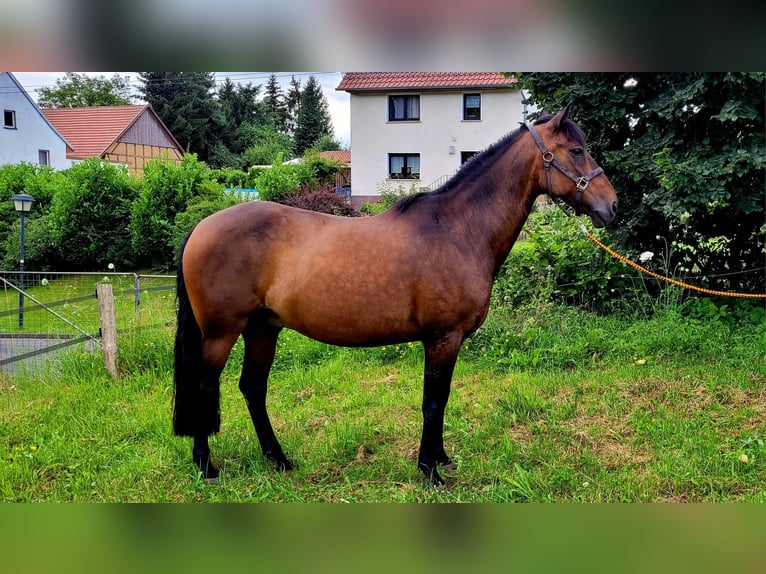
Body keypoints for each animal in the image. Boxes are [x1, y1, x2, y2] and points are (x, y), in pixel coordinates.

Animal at [174, 107, 616, 486]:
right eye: (576, 150)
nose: (611, 205)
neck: (458, 228)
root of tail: (201, 227)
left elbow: (440, 400)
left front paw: (440, 459)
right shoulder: (443, 338)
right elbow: (434, 402)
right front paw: (430, 470)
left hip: (263, 329)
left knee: (253, 388)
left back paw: (279, 459)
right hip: (221, 333)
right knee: (204, 386)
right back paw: (207, 466)